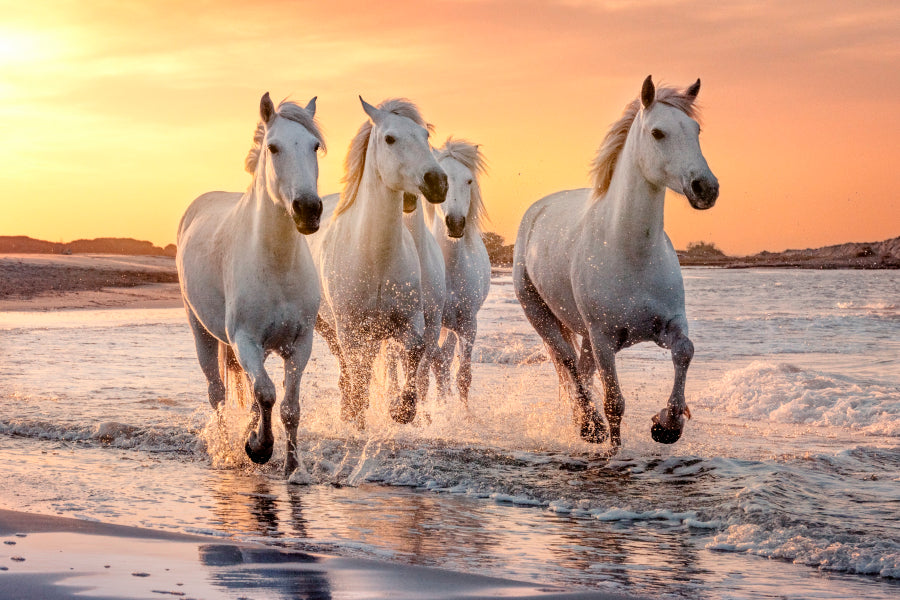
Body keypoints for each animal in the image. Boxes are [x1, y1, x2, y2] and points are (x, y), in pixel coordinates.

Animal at [176, 93, 325, 477]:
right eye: (273, 147)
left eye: (315, 146)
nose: (308, 209)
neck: (276, 264)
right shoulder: (245, 340)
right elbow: (268, 394)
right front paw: (259, 448)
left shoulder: (300, 343)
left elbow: (288, 407)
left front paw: (292, 468)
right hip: (202, 331)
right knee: (217, 394)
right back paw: (228, 450)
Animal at [307, 97, 448, 430]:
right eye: (390, 138)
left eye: (425, 136)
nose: (437, 182)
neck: (376, 258)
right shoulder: (350, 329)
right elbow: (358, 374)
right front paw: (358, 416)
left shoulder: (410, 321)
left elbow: (415, 352)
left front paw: (401, 410)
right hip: (329, 327)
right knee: (349, 369)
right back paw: (349, 412)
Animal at [423, 138, 491, 406]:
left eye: (469, 181)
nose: (455, 223)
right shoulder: (429, 324)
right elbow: (435, 365)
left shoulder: (468, 324)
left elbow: (462, 375)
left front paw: (462, 412)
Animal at [512, 76, 719, 447]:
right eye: (657, 133)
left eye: (695, 129)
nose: (705, 188)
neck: (631, 253)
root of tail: (536, 211)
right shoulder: (604, 339)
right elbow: (614, 404)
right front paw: (615, 447)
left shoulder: (668, 325)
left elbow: (685, 351)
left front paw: (667, 424)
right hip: (540, 314)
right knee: (567, 362)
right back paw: (589, 425)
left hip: (584, 335)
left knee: (580, 370)